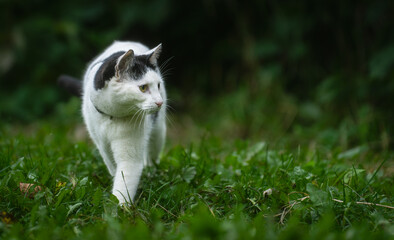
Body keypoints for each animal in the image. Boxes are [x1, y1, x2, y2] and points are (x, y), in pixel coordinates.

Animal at [58, 41, 166, 204]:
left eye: (158, 85)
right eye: (143, 87)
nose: (160, 102)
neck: (112, 116)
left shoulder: (129, 154)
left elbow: (124, 181)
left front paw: (121, 208)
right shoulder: (101, 144)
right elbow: (113, 167)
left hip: (158, 131)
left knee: (152, 154)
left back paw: (151, 172)